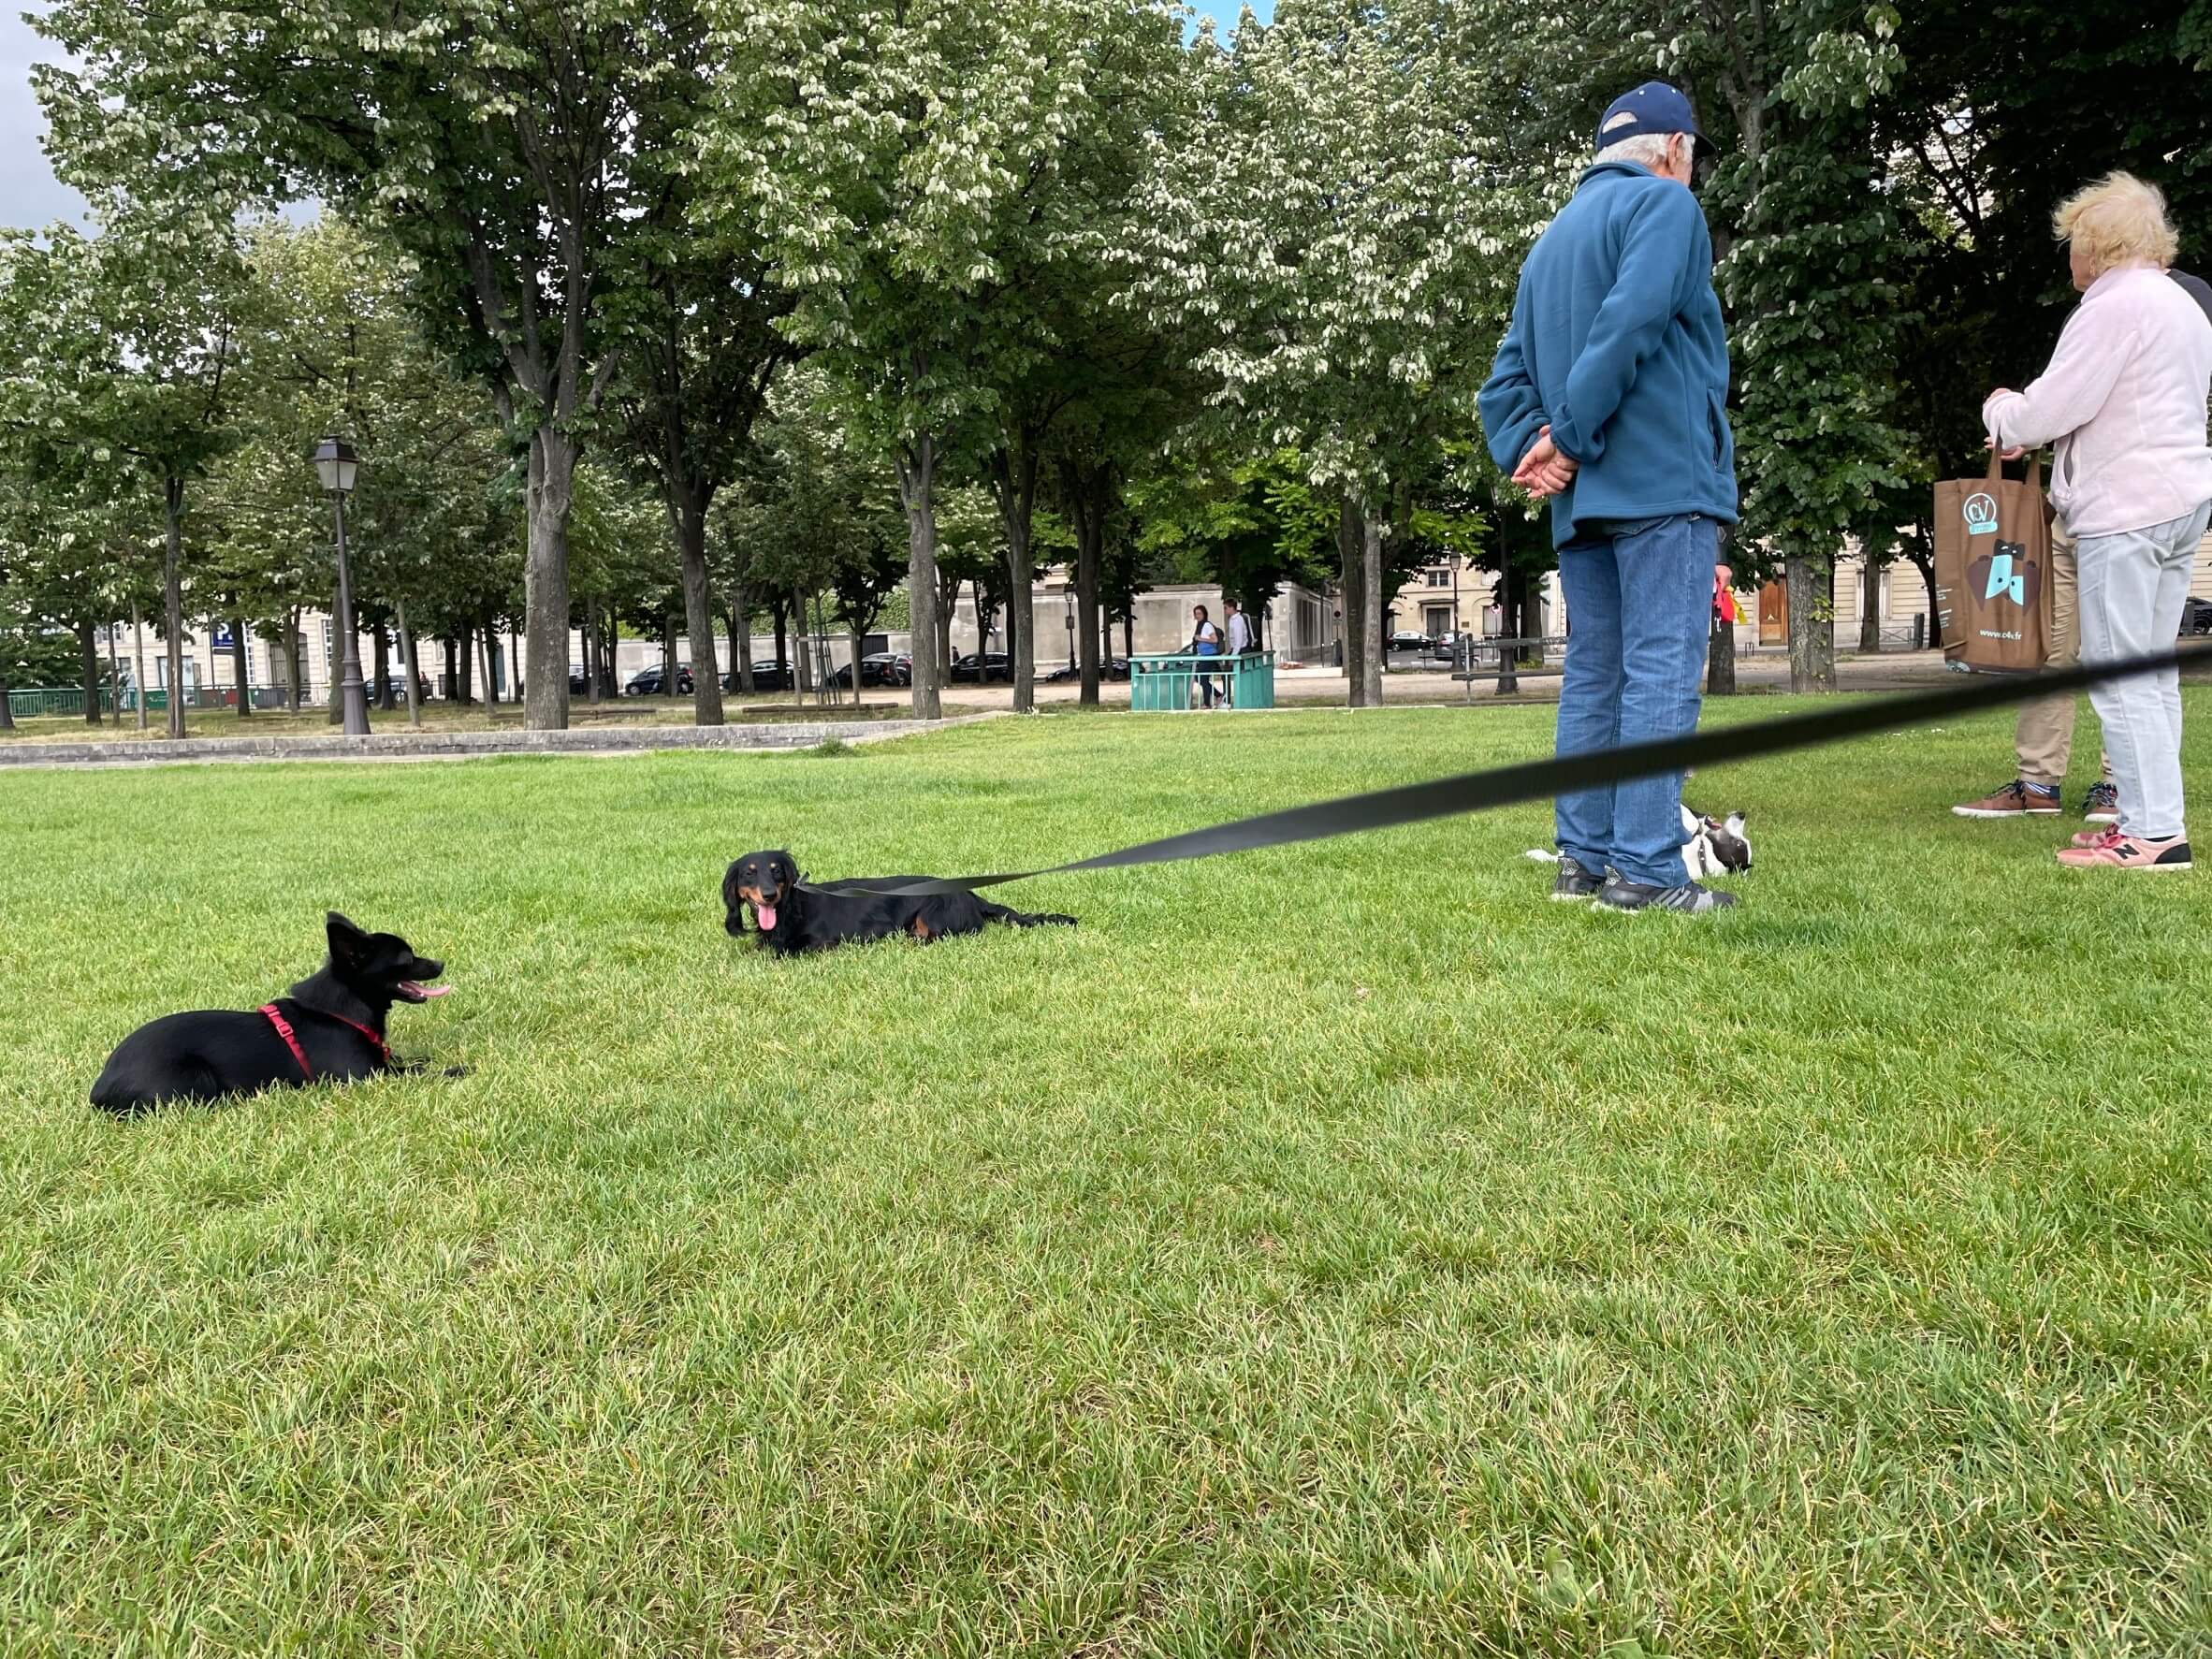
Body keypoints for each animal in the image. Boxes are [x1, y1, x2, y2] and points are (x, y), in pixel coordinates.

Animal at [94, 924, 453, 1119]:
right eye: (406, 958)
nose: (440, 963)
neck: (342, 1010)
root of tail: (98, 1088)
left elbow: (406, 1061)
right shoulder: (365, 1077)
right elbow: (416, 1074)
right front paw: (455, 1070)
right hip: (194, 1080)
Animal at [725, 849, 1070, 955]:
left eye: (777, 870)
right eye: (749, 873)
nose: (768, 895)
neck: (788, 911)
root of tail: (971, 893)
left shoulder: (823, 942)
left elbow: (782, 952)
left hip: (934, 913)